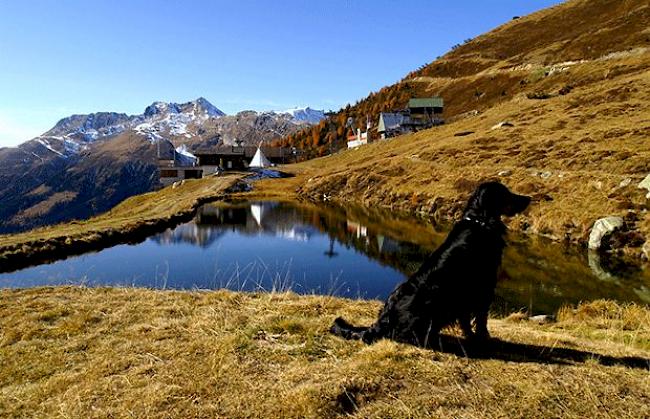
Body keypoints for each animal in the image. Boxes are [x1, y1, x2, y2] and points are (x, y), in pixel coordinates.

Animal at [330, 182, 528, 350]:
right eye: (506, 193)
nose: (528, 199)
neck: (480, 221)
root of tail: (383, 322)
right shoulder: (484, 286)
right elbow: (480, 320)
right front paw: (484, 340)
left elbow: (466, 320)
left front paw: (471, 337)